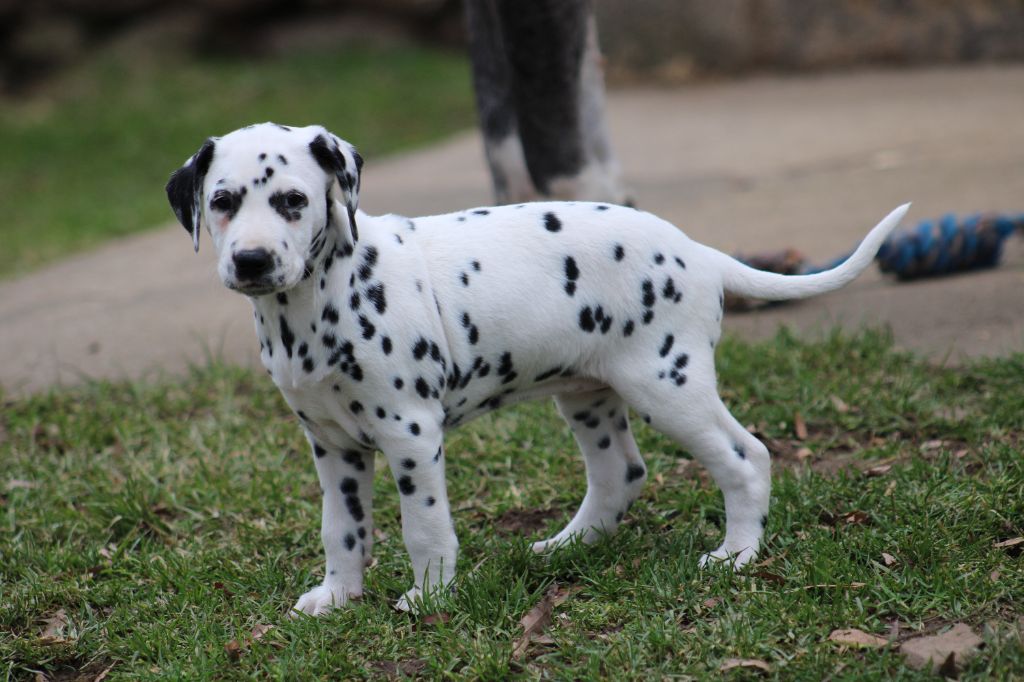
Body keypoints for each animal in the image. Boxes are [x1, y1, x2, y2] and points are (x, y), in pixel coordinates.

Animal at [166, 122, 909, 615]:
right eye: (223, 201)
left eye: (292, 201)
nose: (252, 261)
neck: (316, 302)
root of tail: (697, 251)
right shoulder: (332, 445)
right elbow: (342, 528)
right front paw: (338, 595)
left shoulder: (410, 435)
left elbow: (423, 527)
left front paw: (429, 597)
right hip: (589, 396)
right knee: (620, 474)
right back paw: (567, 546)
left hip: (667, 384)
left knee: (745, 456)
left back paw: (736, 554)